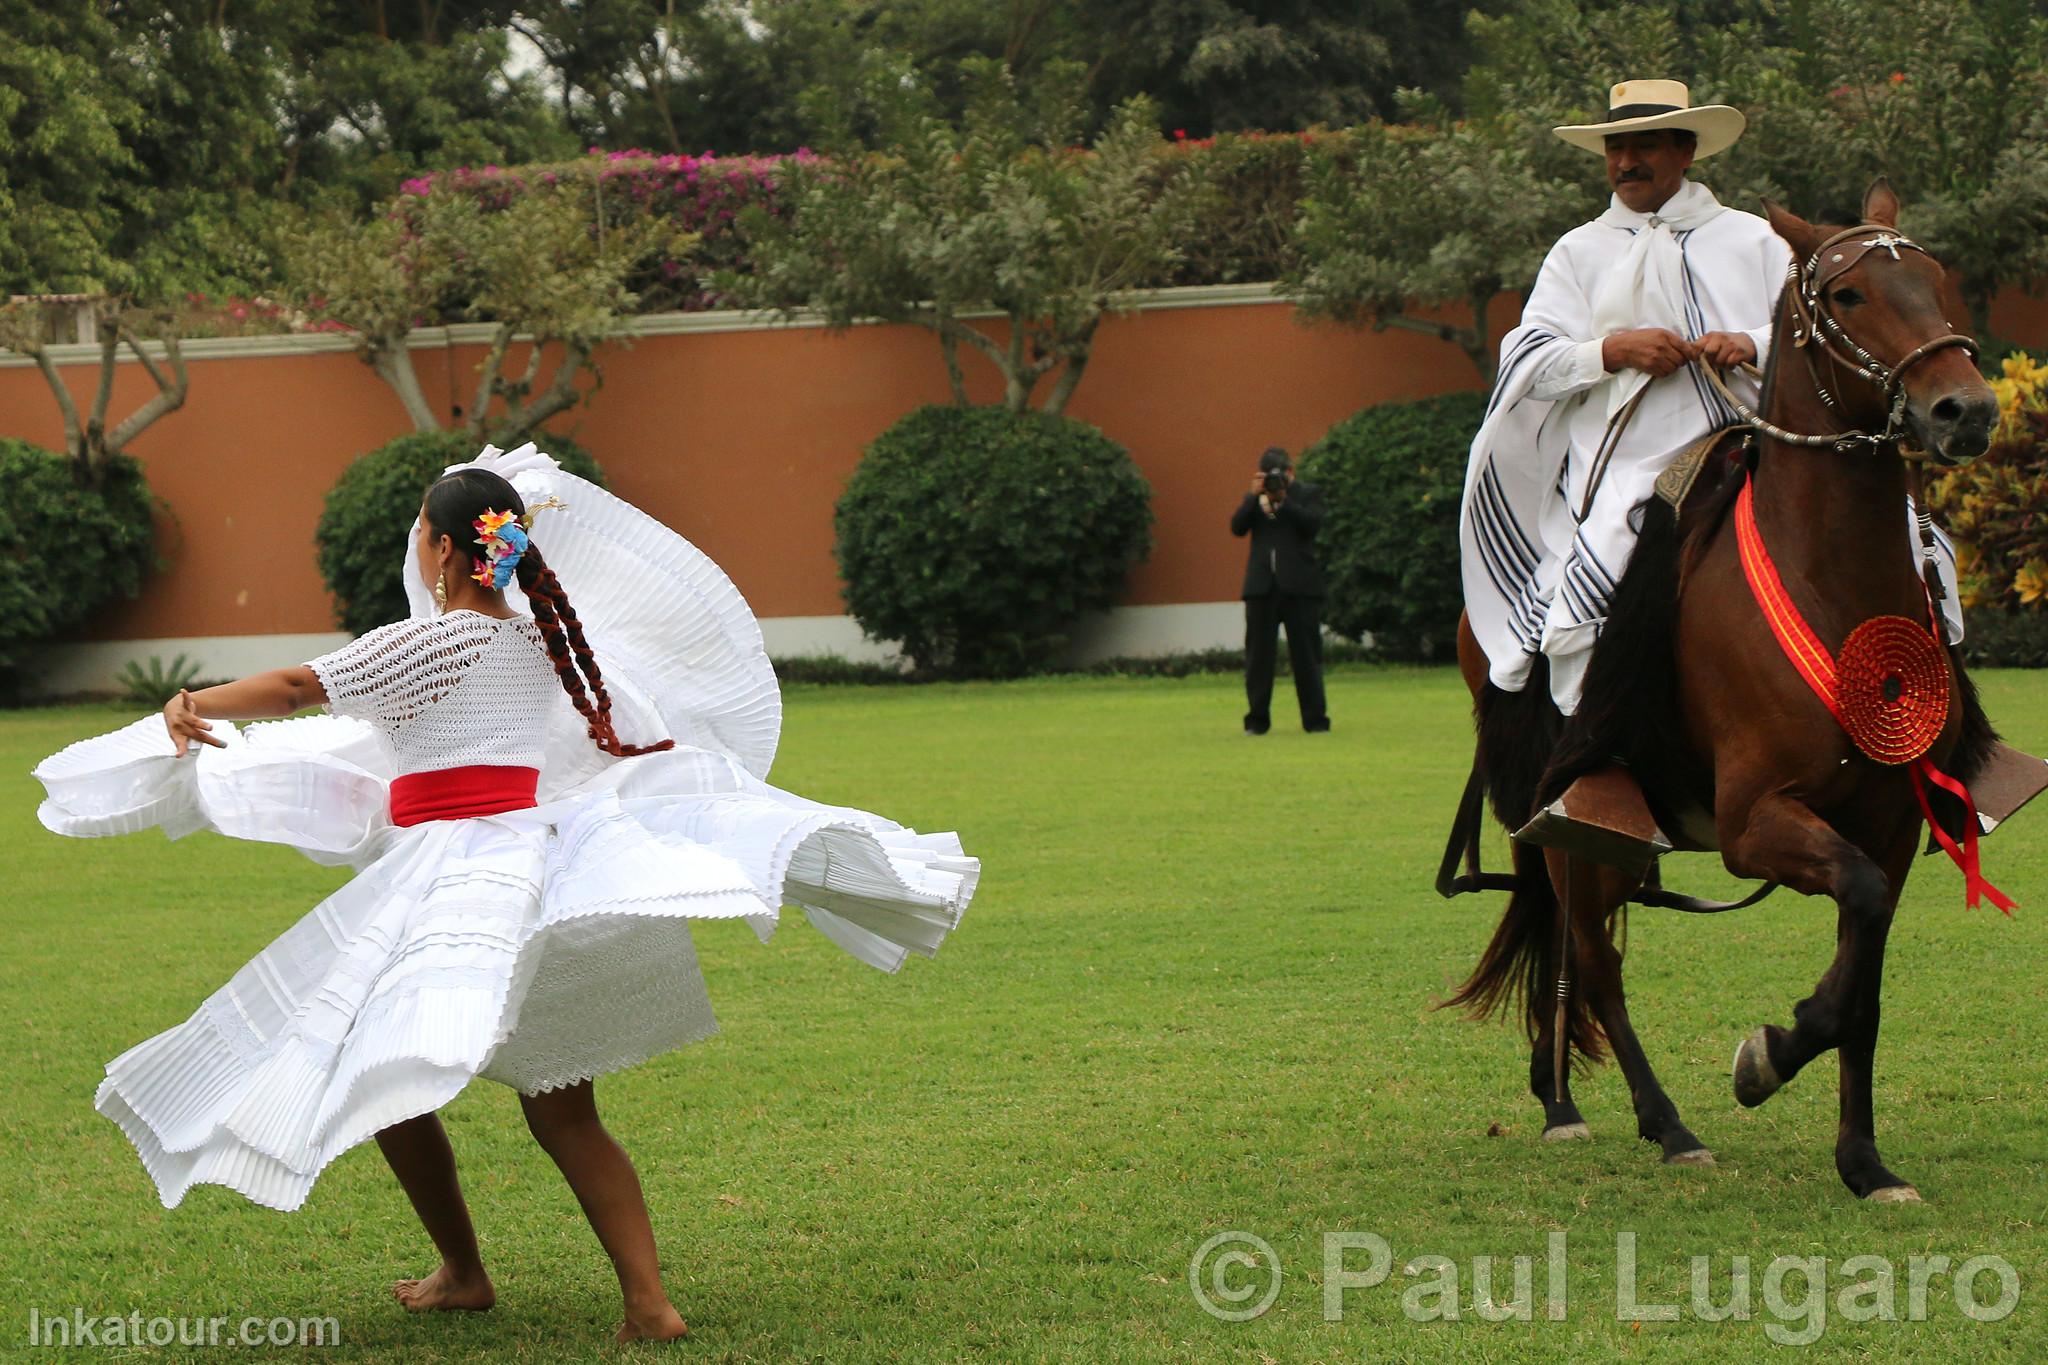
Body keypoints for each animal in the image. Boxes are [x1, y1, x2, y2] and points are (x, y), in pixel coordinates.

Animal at [1458, 175, 1998, 1203]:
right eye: (1848, 295)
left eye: (1940, 279)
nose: (1966, 408)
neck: (1829, 580)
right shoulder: (1756, 823)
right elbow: (1855, 913)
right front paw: (1767, 1057)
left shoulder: (1890, 826)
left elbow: (1865, 979)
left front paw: (1864, 1161)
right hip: (1576, 828)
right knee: (1591, 962)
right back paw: (1661, 1123)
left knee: (1578, 952)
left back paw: (1569, 1098)